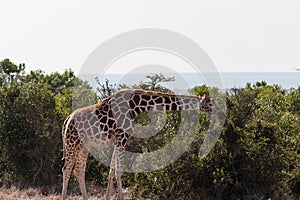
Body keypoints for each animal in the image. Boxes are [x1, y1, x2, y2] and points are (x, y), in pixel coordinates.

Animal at [61, 89, 213, 200]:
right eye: (211, 104)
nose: (217, 112)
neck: (137, 105)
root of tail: (67, 120)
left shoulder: (118, 140)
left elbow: (111, 170)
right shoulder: (122, 138)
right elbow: (119, 170)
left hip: (84, 146)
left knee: (79, 171)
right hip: (71, 143)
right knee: (66, 169)